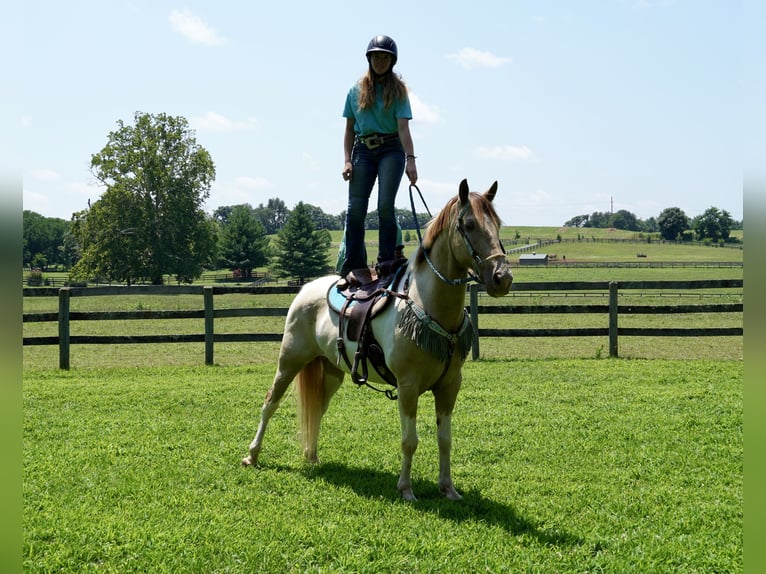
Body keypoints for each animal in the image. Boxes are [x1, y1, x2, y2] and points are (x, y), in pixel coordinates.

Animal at [241, 179, 513, 501]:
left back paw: (312, 456)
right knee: (270, 403)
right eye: (469, 225)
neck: (426, 304)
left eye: (497, 224)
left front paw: (448, 488)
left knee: (316, 409)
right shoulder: (408, 387)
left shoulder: (449, 386)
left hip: (331, 372)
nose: (502, 277)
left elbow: (445, 439)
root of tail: (305, 289)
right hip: (289, 361)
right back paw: (252, 455)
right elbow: (410, 440)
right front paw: (406, 489)